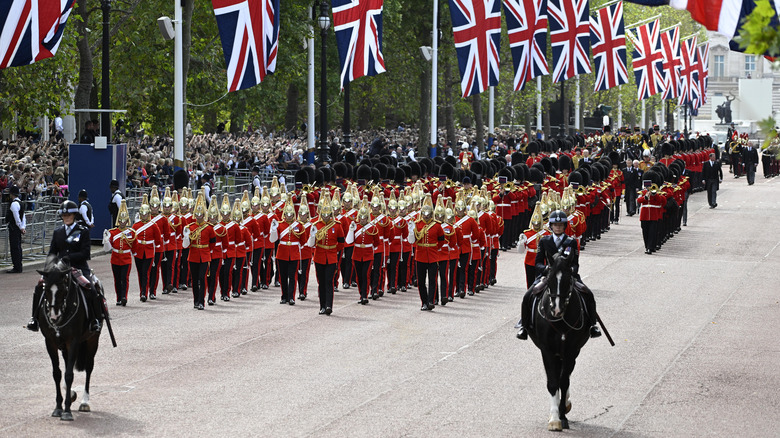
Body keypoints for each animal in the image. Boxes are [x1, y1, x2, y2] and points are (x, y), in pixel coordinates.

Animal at [36, 255, 102, 420]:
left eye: (63, 289)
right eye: (45, 288)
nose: (54, 316)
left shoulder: (73, 341)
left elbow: (69, 374)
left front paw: (66, 410)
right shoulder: (50, 342)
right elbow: (58, 373)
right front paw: (59, 407)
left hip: (93, 340)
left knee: (89, 367)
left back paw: (85, 401)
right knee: (67, 364)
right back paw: (71, 394)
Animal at [532, 250, 592, 432]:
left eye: (567, 278)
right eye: (549, 278)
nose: (556, 309)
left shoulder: (571, 350)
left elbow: (564, 381)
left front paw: (562, 415)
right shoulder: (547, 350)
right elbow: (553, 382)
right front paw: (554, 419)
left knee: (566, 375)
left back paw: (564, 404)